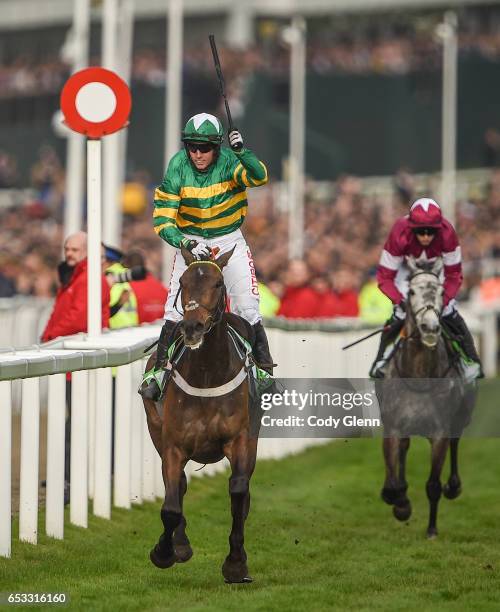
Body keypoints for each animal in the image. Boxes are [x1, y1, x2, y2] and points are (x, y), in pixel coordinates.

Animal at [141, 245, 258, 584]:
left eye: (218, 284)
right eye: (183, 282)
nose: (192, 327)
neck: (208, 373)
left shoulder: (241, 440)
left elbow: (238, 493)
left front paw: (236, 563)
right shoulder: (173, 445)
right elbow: (171, 505)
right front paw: (166, 551)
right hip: (156, 431)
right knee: (178, 486)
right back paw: (179, 544)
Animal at [376, 256, 478, 536]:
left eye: (442, 293)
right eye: (411, 292)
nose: (430, 327)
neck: (419, 375)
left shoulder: (439, 432)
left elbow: (433, 484)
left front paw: (431, 528)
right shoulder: (393, 426)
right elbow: (392, 484)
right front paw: (401, 504)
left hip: (462, 416)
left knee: (456, 443)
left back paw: (453, 486)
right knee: (404, 450)